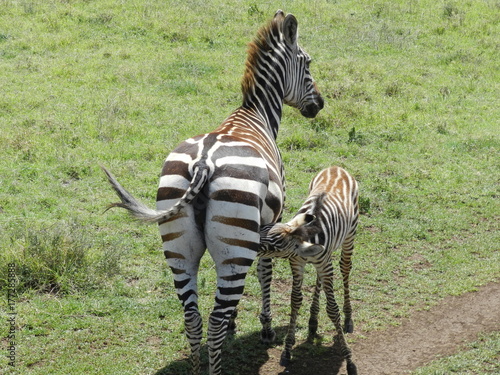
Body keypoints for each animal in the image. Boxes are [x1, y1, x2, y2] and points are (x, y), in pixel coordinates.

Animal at [103, 11, 326, 375]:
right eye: (307, 64)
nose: (319, 104)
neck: (255, 113)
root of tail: (203, 164)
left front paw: (241, 320)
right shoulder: (270, 223)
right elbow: (265, 272)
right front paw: (265, 327)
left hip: (178, 244)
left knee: (193, 317)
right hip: (236, 244)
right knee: (214, 320)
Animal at [258, 167, 360, 375]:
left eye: (274, 247)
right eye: (263, 229)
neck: (306, 234)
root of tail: (337, 167)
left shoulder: (324, 264)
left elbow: (332, 309)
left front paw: (349, 360)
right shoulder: (298, 264)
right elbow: (295, 301)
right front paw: (287, 351)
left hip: (349, 236)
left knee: (345, 268)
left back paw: (348, 317)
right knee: (320, 279)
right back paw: (313, 320)